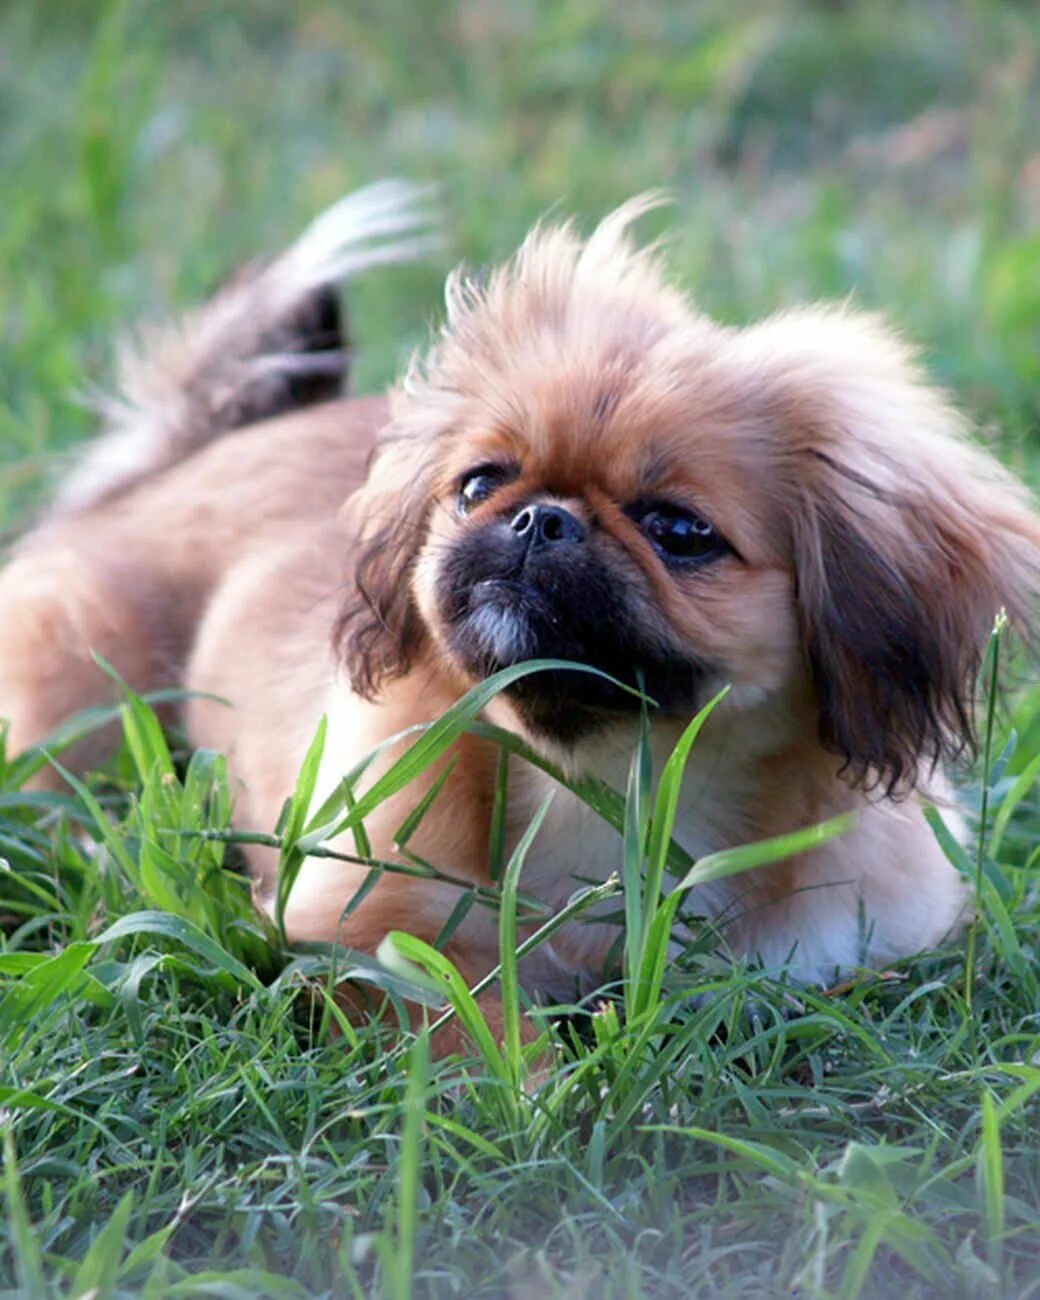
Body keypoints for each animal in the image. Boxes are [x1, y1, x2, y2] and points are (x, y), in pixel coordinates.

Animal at [4, 183, 1034, 1034]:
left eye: (679, 530)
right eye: (480, 484)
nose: (541, 518)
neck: (610, 783)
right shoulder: (367, 932)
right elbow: (474, 1025)